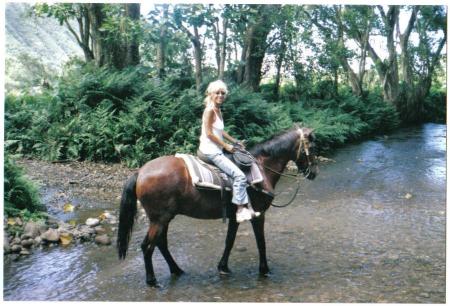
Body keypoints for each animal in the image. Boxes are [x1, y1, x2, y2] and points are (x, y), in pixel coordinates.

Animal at [118, 125, 318, 286]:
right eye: (313, 148)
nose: (314, 173)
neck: (262, 169)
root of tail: (140, 172)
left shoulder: (235, 217)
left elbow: (229, 241)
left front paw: (223, 267)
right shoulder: (259, 214)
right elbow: (261, 242)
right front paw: (265, 270)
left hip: (164, 218)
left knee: (161, 244)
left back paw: (177, 270)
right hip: (159, 219)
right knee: (147, 246)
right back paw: (152, 280)